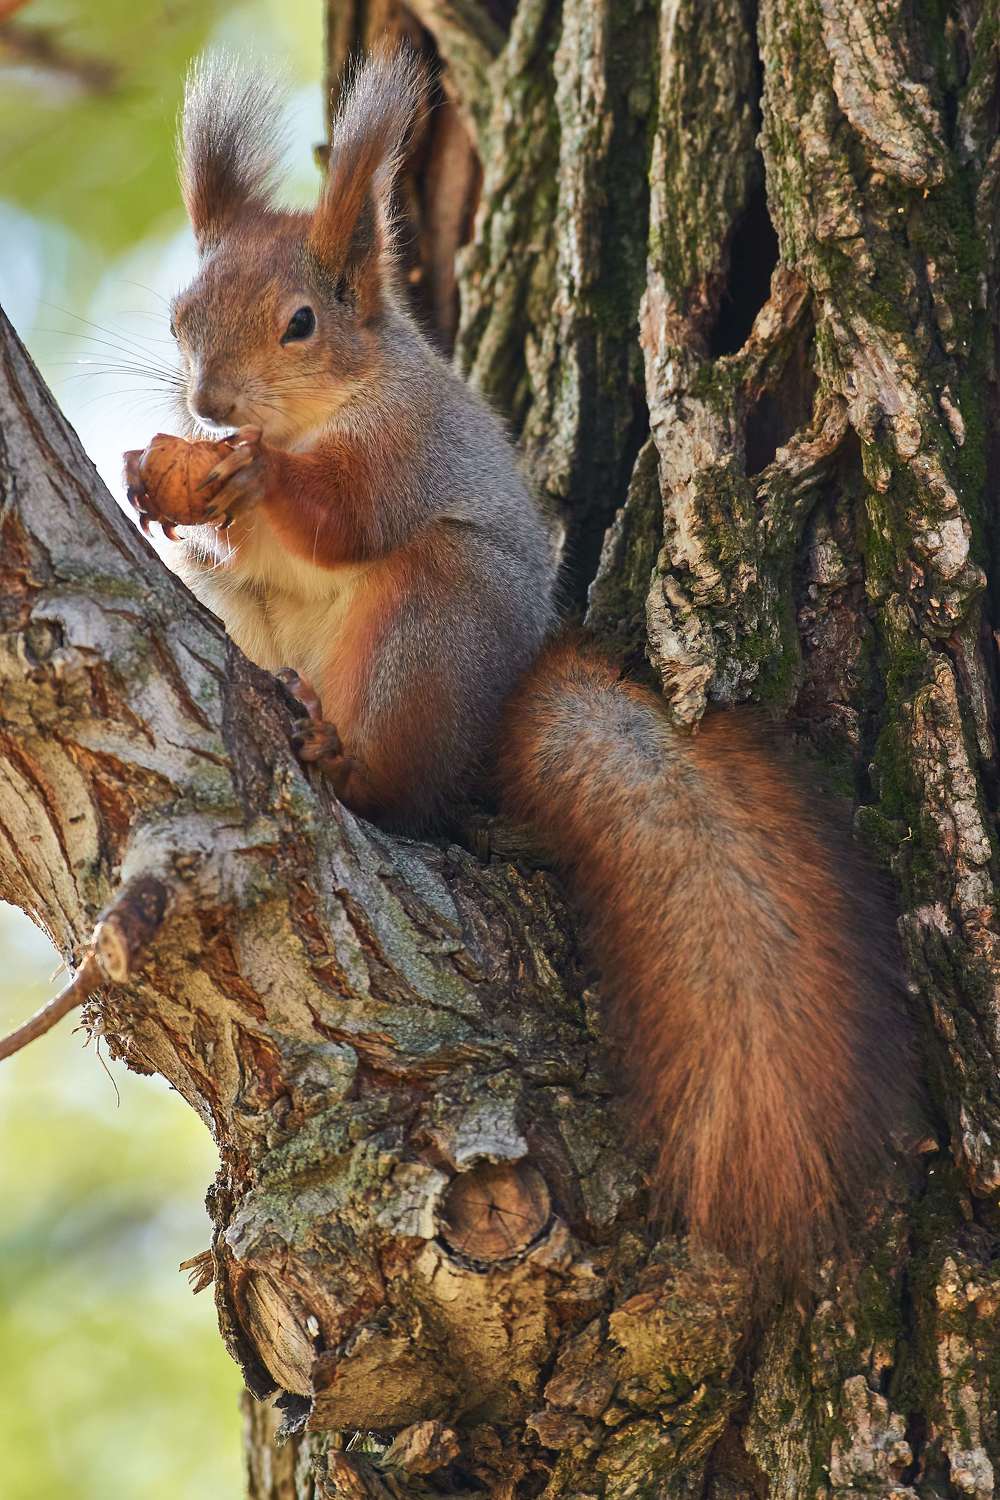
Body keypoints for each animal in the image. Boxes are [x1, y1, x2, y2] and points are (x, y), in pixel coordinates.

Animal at [123, 48, 914, 1279]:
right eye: (180, 318)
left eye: (301, 322)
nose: (207, 406)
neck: (322, 410)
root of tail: (484, 719)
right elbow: (234, 552)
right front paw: (166, 495)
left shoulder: (406, 452)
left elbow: (344, 518)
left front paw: (250, 480)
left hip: (429, 624)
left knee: (401, 789)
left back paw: (338, 755)